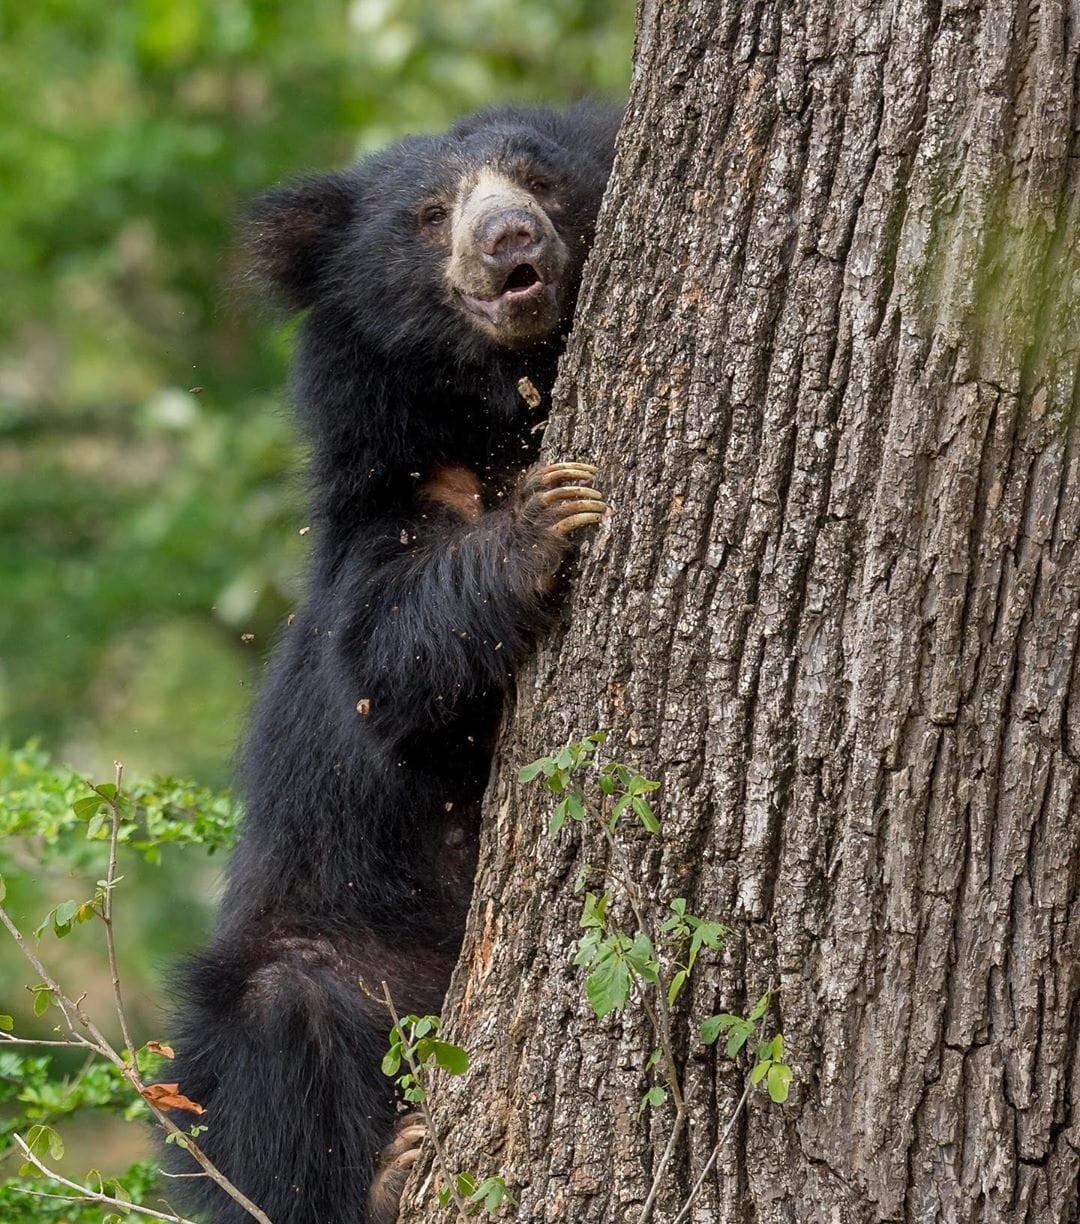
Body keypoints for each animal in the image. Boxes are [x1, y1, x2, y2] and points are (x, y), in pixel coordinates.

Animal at [164, 101, 621, 1224]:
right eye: (429, 215)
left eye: (539, 182)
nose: (511, 242)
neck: (498, 408)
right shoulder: (390, 496)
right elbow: (389, 662)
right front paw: (548, 514)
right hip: (316, 961)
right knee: (281, 1053)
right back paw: (386, 1174)